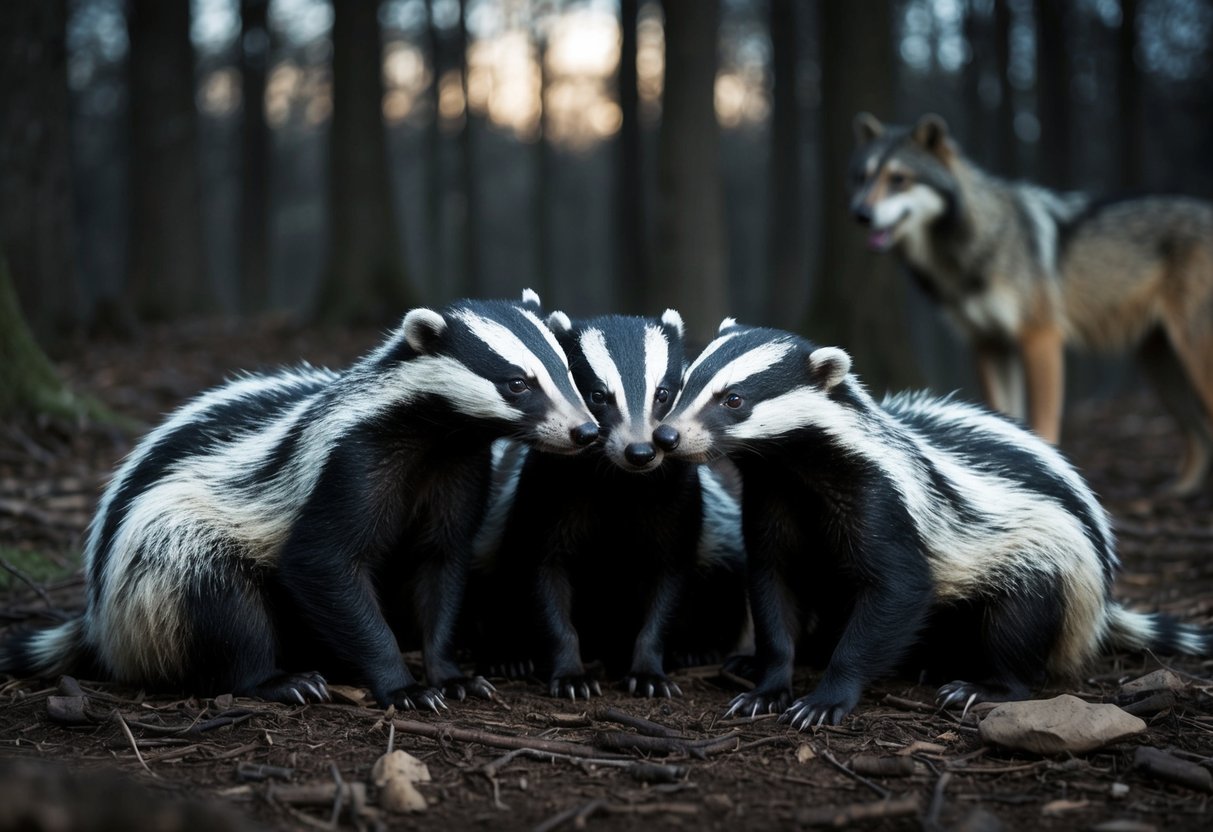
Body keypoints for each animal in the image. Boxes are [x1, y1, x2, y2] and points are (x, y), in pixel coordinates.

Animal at [849, 112, 1213, 496]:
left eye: (898, 179)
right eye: (862, 178)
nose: (859, 213)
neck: (976, 243)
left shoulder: (1040, 338)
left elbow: (1042, 421)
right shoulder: (988, 345)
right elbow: (1003, 414)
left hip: (1191, 356)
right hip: (1160, 369)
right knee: (1201, 434)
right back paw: (1180, 491)